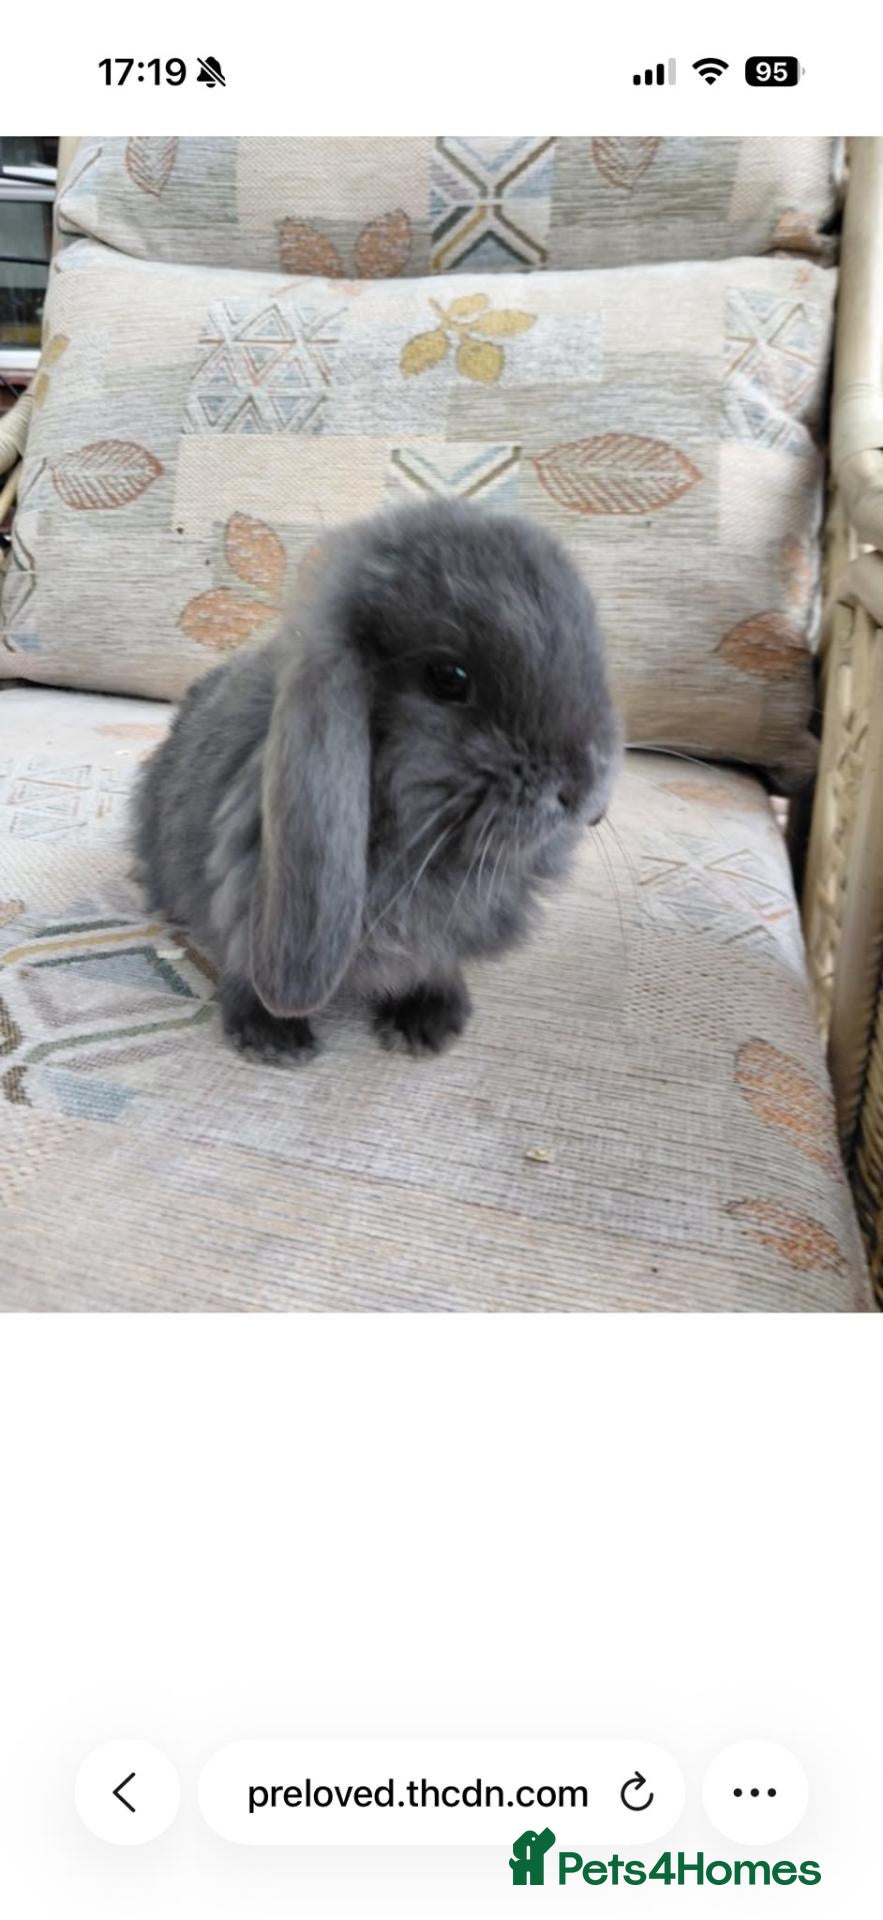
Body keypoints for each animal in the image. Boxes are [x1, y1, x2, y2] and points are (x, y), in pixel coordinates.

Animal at [133, 499, 620, 1064]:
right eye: (448, 678)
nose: (584, 794)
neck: (423, 848)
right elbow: (242, 966)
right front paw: (272, 1040)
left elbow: (434, 966)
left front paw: (428, 1027)